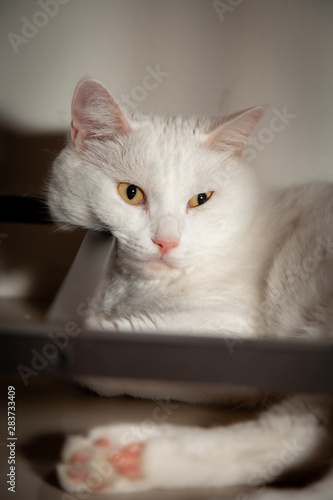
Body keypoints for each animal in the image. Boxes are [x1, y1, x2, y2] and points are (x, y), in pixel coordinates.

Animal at [47, 79, 332, 496]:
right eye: (131, 193)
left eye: (201, 200)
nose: (166, 241)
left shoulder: (231, 330)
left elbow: (117, 344)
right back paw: (115, 461)